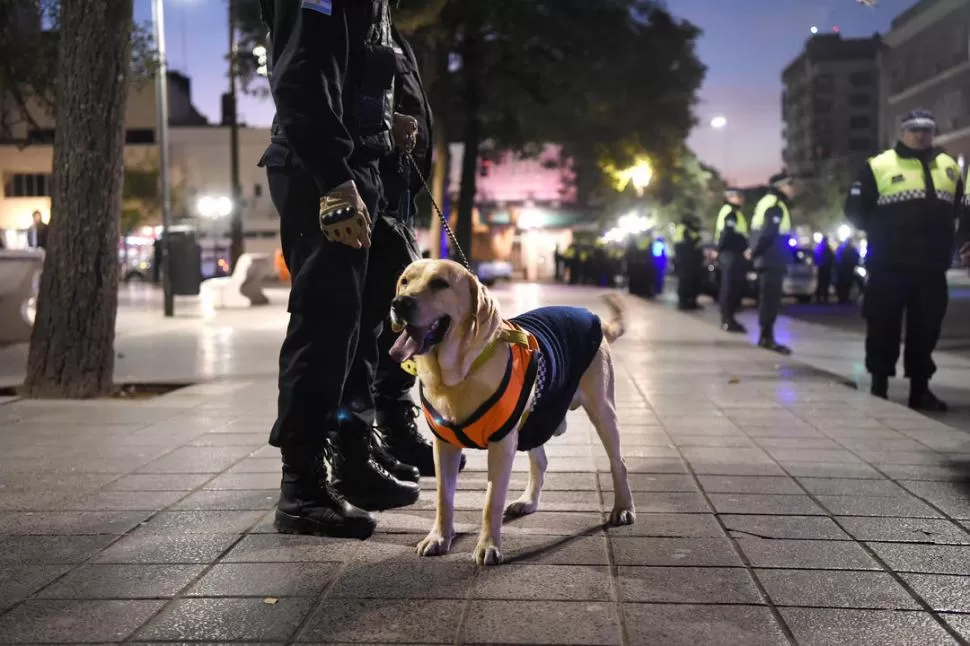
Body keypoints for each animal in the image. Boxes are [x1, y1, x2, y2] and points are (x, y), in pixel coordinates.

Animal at [386, 258, 636, 568]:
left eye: (440, 283)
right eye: (405, 281)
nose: (399, 303)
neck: (458, 374)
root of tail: (589, 314)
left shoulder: (502, 444)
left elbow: (491, 502)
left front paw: (488, 546)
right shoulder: (444, 446)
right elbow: (444, 499)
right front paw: (439, 538)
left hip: (602, 410)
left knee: (619, 463)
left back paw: (623, 507)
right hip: (536, 420)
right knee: (540, 462)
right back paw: (528, 501)